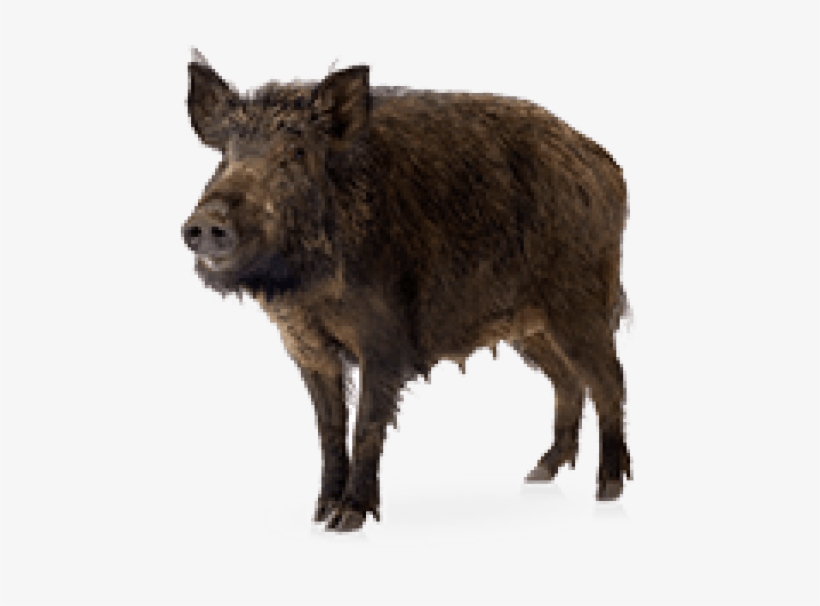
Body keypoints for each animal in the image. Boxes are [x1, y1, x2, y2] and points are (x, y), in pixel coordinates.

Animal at [182, 50, 632, 532]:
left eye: (296, 154)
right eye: (225, 153)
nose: (207, 222)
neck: (310, 289)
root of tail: (609, 168)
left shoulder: (384, 339)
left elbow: (366, 425)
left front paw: (347, 519)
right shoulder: (306, 345)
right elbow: (328, 428)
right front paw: (319, 514)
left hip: (580, 303)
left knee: (609, 380)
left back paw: (608, 490)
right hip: (529, 327)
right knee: (568, 380)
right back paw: (538, 473)